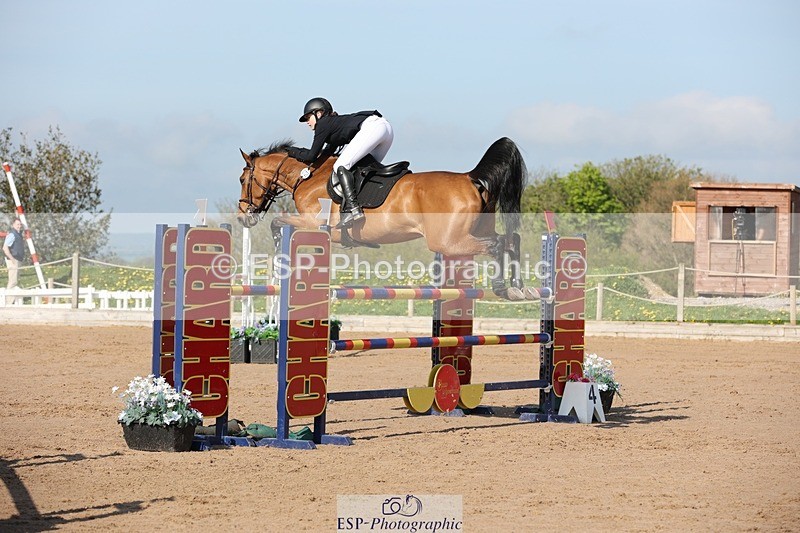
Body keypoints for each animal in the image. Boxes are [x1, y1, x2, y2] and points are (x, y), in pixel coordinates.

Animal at [236, 137, 535, 299]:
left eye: (242, 179)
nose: (243, 218)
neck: (308, 177)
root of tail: (471, 178)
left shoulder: (314, 223)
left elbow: (277, 223)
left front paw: (279, 258)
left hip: (448, 241)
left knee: (497, 244)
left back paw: (503, 288)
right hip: (473, 231)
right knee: (512, 239)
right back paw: (520, 288)